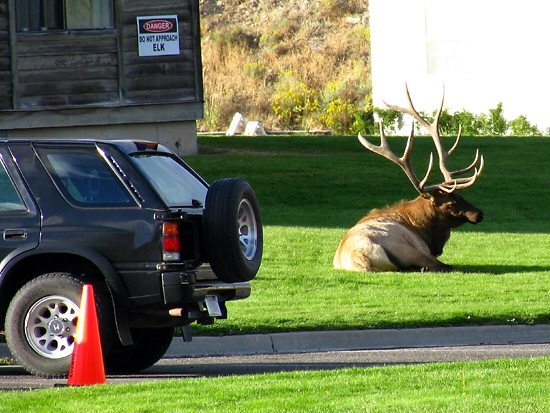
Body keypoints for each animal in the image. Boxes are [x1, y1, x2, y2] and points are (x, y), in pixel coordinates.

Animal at [333, 86, 484, 272]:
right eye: (450, 204)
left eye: (461, 196)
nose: (479, 214)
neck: (423, 230)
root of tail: (360, 258)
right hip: (408, 249)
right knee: (438, 266)